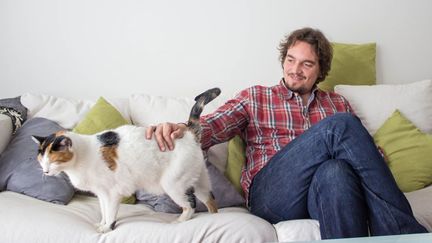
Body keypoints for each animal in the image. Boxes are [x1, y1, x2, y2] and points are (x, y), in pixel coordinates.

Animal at [30, 88, 221, 233]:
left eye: (53, 160)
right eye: (42, 160)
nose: (46, 171)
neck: (84, 156)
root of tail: (188, 132)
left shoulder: (112, 192)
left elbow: (110, 212)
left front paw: (107, 228)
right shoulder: (101, 193)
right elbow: (104, 211)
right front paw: (101, 224)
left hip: (173, 184)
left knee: (191, 204)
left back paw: (179, 221)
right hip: (200, 182)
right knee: (211, 200)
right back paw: (213, 215)